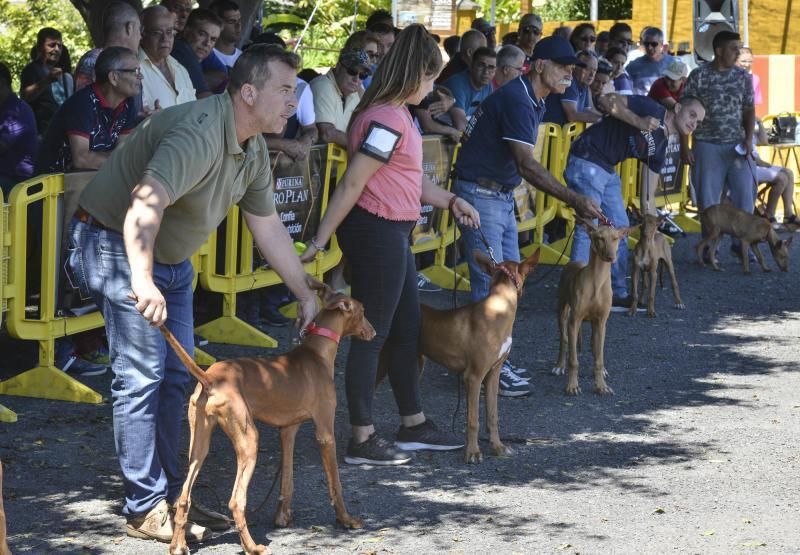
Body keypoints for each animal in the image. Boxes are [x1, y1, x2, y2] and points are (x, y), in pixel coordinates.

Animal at [169, 280, 376, 555]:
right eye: (363, 311)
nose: (374, 332)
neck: (316, 353)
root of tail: (211, 378)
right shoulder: (325, 433)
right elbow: (336, 484)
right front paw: (346, 520)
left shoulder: (288, 430)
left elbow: (286, 480)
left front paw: (282, 517)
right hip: (248, 441)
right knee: (236, 501)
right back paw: (252, 547)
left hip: (199, 445)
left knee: (184, 497)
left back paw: (178, 544)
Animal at [552, 224, 636, 398]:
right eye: (600, 238)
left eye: (615, 238)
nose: (611, 257)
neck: (597, 280)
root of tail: (574, 262)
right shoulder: (574, 322)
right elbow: (573, 360)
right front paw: (572, 386)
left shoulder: (602, 321)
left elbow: (599, 358)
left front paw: (601, 386)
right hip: (563, 313)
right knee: (564, 339)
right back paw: (559, 365)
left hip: (596, 324)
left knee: (594, 346)